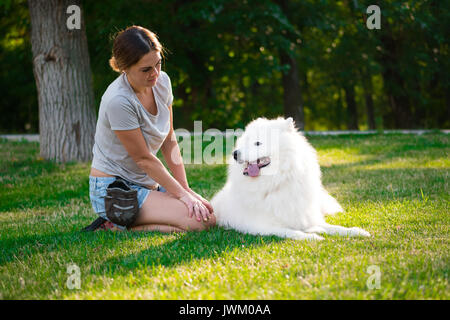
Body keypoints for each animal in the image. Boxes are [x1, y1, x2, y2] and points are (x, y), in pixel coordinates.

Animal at [210, 117, 370, 240]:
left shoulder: (304, 217)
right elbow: (293, 232)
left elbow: (336, 227)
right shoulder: (262, 226)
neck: (277, 181)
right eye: (244, 143)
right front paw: (313, 237)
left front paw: (357, 231)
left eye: (257, 143)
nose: (235, 154)